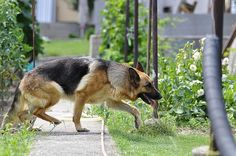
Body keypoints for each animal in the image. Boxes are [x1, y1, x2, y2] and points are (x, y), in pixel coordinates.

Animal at [0, 57, 161, 132]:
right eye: (148, 85)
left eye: (152, 83)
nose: (160, 97)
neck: (110, 76)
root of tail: (24, 77)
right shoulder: (81, 95)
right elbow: (76, 115)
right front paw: (79, 128)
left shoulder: (111, 102)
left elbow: (135, 109)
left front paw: (138, 123)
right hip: (56, 93)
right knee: (32, 112)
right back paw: (53, 120)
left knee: (25, 114)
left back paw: (32, 128)